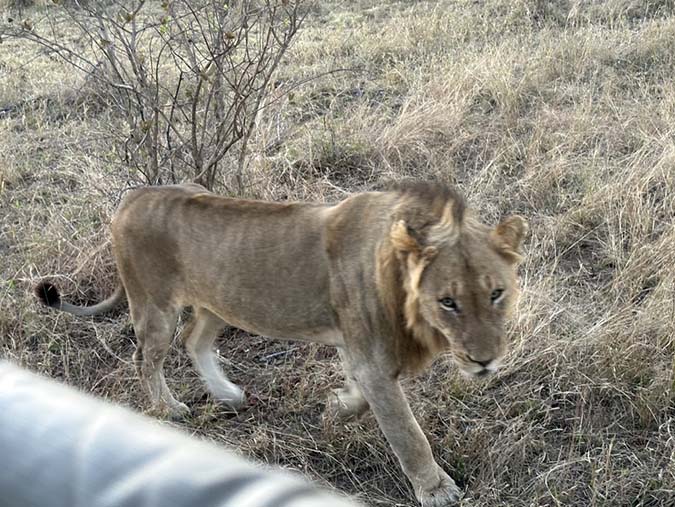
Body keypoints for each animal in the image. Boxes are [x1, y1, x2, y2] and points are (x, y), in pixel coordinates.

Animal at [35, 181, 528, 506]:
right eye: (448, 302)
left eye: (496, 294)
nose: (485, 361)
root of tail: (136, 194)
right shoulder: (373, 360)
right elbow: (407, 433)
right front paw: (437, 490)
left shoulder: (357, 348)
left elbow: (361, 397)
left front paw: (337, 407)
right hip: (155, 305)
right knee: (146, 357)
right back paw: (169, 409)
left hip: (219, 301)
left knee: (194, 340)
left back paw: (227, 394)